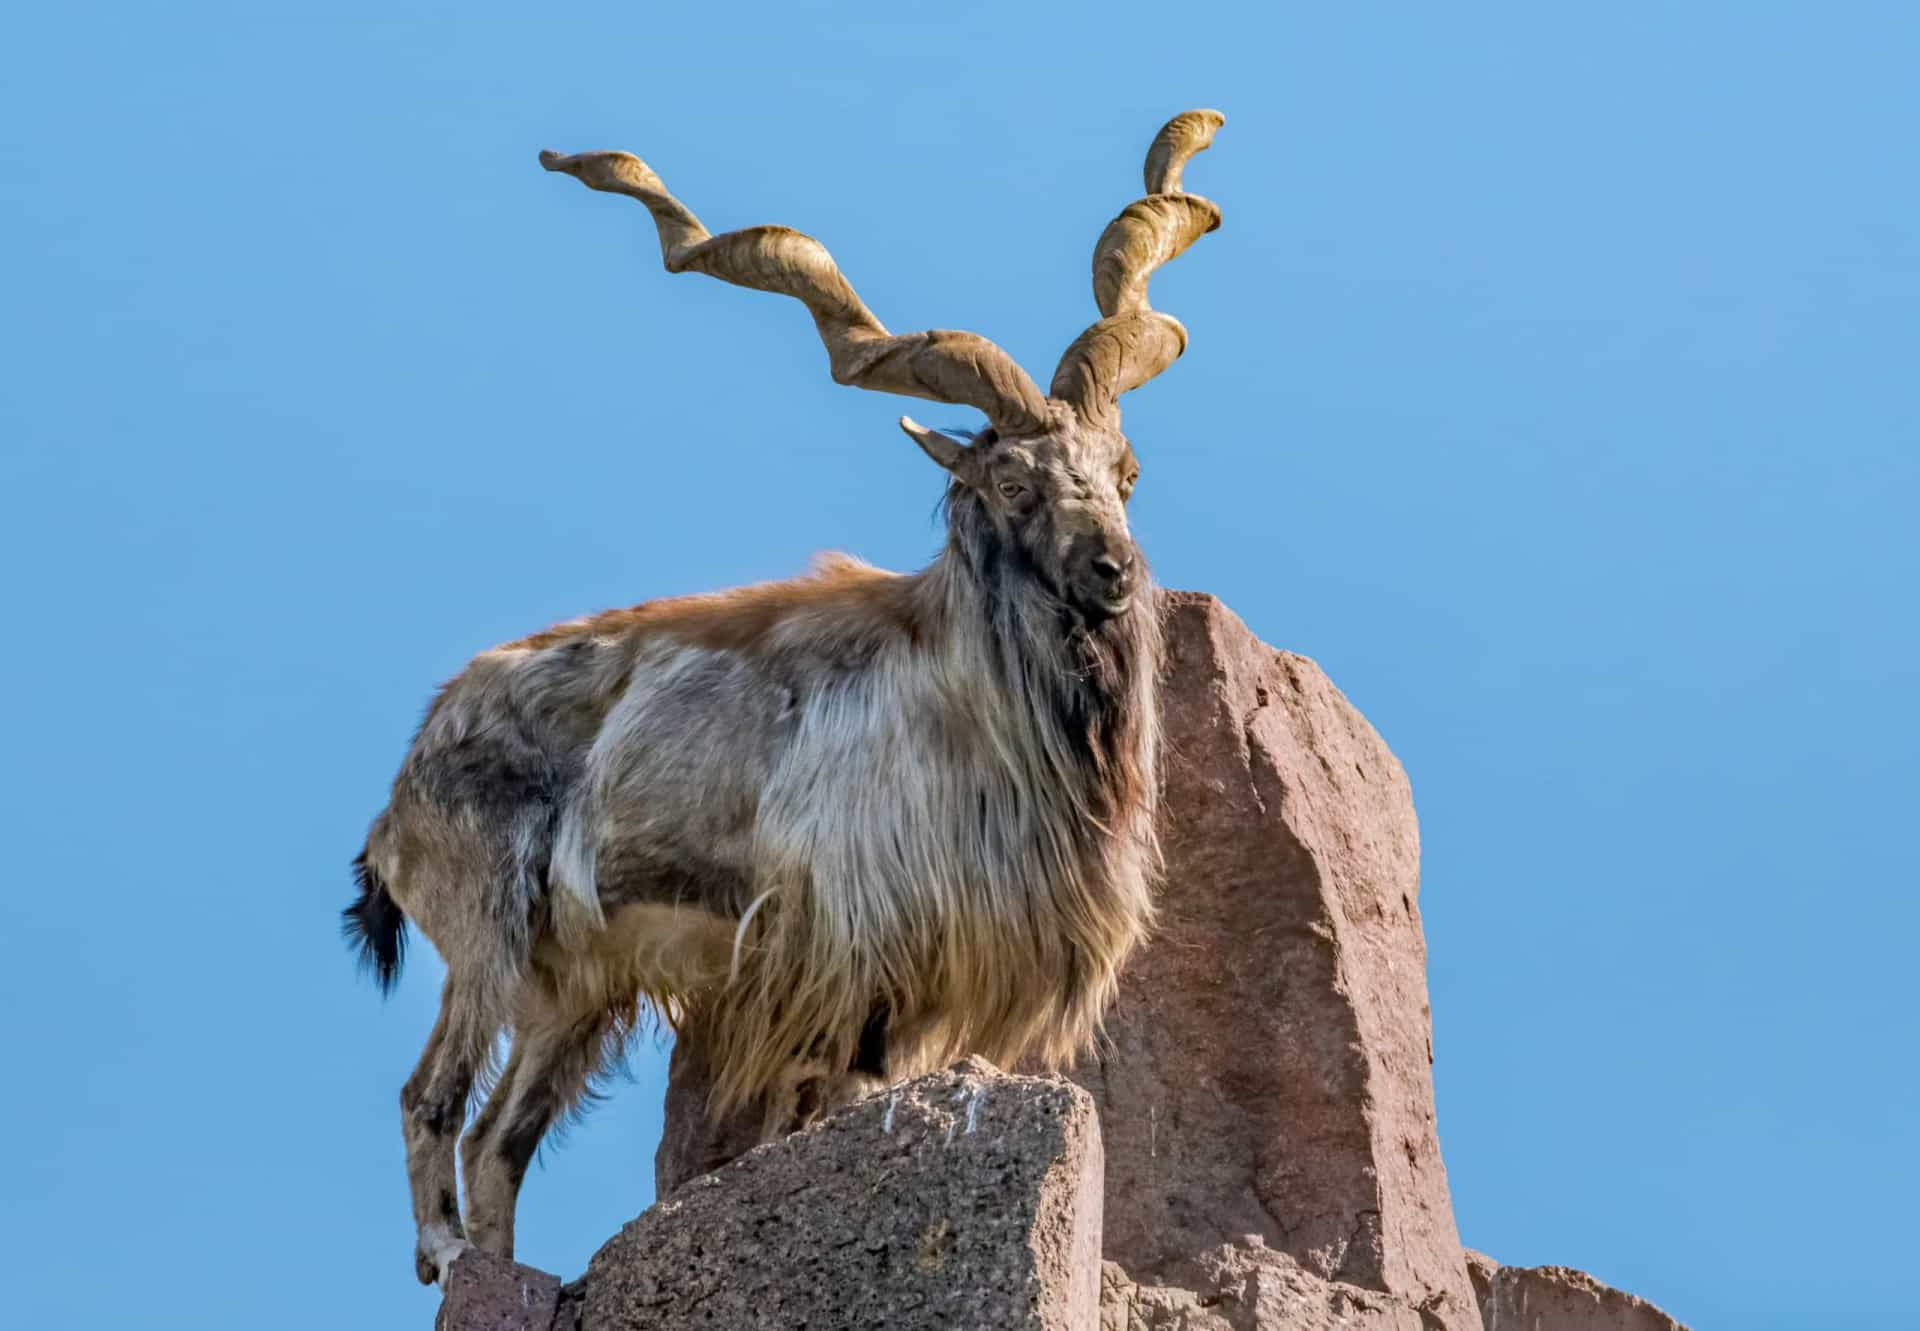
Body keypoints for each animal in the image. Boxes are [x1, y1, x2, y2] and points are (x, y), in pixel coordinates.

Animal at [345, 108, 1221, 1282]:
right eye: (1012, 481)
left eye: (1122, 472)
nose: (1112, 572)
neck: (969, 707)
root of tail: (398, 793)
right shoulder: (853, 948)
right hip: (486, 926)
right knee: (430, 1095)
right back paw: (444, 1252)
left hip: (576, 988)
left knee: (499, 1139)